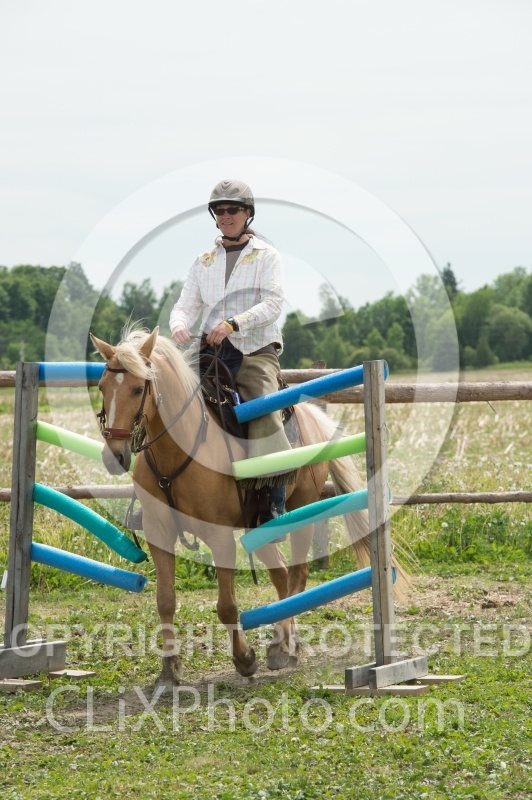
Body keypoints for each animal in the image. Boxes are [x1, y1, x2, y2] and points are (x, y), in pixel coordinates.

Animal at [90, 326, 381, 688]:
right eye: (102, 386)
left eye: (138, 387)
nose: (114, 456)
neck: (180, 448)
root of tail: (311, 419)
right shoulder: (160, 534)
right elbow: (165, 600)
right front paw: (170, 669)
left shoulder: (220, 538)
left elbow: (227, 606)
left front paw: (244, 659)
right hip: (257, 525)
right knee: (281, 573)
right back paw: (285, 642)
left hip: (301, 510)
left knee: (297, 576)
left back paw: (283, 646)